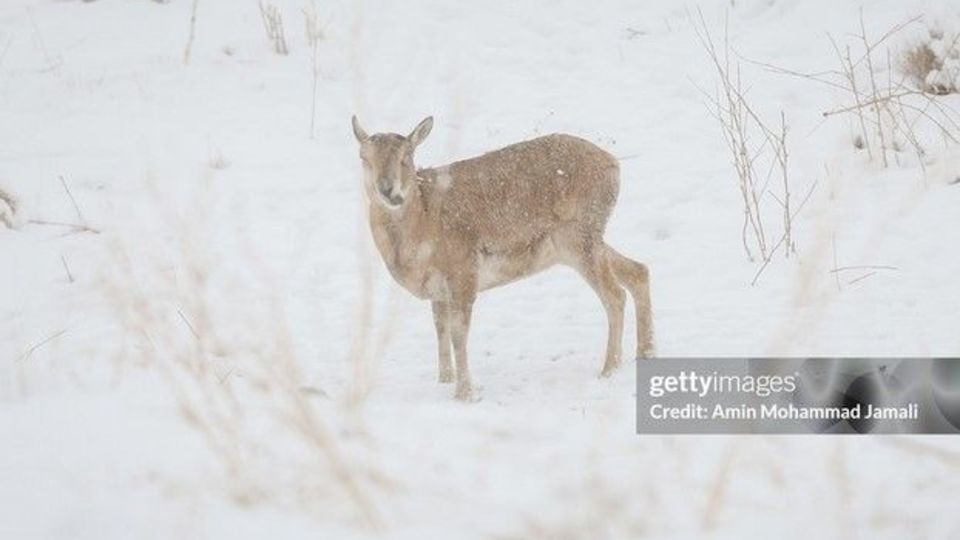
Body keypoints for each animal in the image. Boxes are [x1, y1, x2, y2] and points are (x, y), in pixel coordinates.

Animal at [348, 115, 656, 400]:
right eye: (364, 157)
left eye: (407, 156)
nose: (388, 190)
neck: (422, 227)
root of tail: (614, 165)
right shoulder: (438, 291)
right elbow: (440, 331)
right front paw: (444, 381)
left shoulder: (464, 273)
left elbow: (459, 333)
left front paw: (464, 393)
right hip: (581, 243)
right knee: (637, 271)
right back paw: (646, 353)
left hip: (579, 239)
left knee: (614, 295)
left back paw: (608, 370)